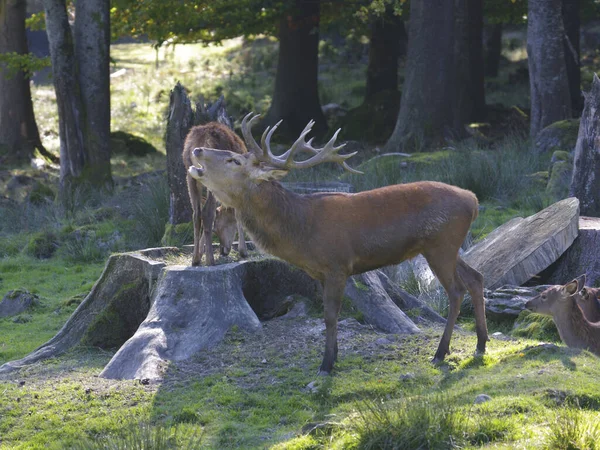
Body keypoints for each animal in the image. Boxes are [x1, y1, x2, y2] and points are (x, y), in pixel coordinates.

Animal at [183, 121, 248, 266]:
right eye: (216, 229)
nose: (224, 250)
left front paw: (200, 252)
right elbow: (238, 212)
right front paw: (243, 251)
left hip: (190, 174)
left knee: (196, 213)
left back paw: (195, 259)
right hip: (214, 177)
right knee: (207, 212)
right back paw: (210, 260)